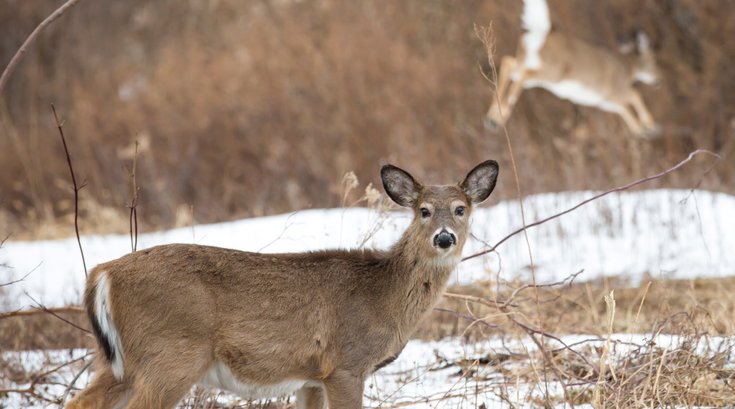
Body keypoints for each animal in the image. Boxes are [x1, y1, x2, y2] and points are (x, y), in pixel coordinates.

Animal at [65, 160, 499, 409]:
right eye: (423, 210)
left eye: (461, 209)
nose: (444, 237)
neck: (382, 294)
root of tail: (102, 273)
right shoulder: (345, 364)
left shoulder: (312, 377)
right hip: (171, 355)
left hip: (121, 361)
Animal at [484, 0, 661, 138]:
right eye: (653, 61)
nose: (657, 80)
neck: (628, 68)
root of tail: (543, 32)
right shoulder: (615, 90)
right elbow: (635, 96)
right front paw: (649, 126)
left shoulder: (606, 101)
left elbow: (625, 109)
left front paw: (642, 131)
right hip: (552, 73)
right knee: (521, 75)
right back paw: (498, 117)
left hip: (526, 63)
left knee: (508, 64)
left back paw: (492, 118)